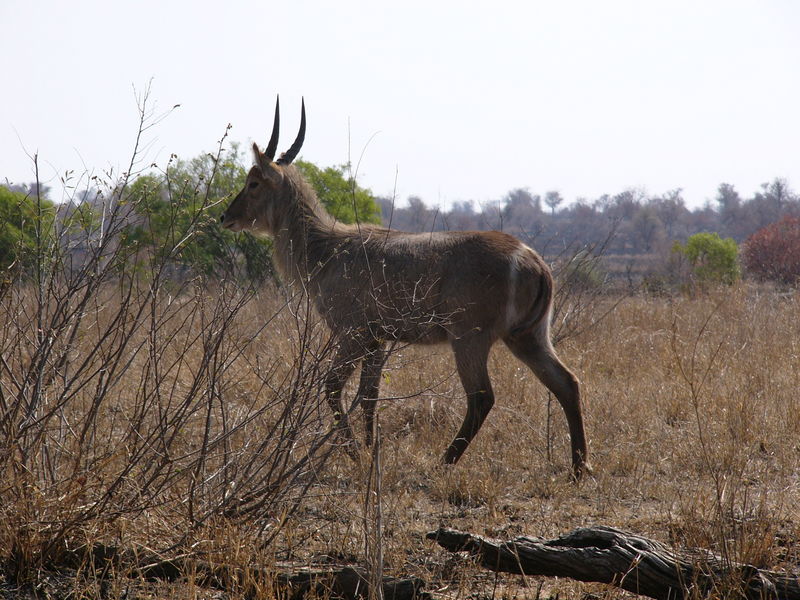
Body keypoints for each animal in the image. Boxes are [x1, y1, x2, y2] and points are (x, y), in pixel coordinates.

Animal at [222, 98, 592, 478]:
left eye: (253, 182)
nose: (225, 217)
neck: (325, 248)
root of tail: (534, 261)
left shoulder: (352, 332)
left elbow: (333, 386)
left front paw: (354, 453)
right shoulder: (378, 338)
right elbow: (369, 394)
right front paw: (370, 452)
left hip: (469, 337)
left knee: (482, 397)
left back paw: (444, 463)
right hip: (528, 336)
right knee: (567, 383)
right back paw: (578, 468)